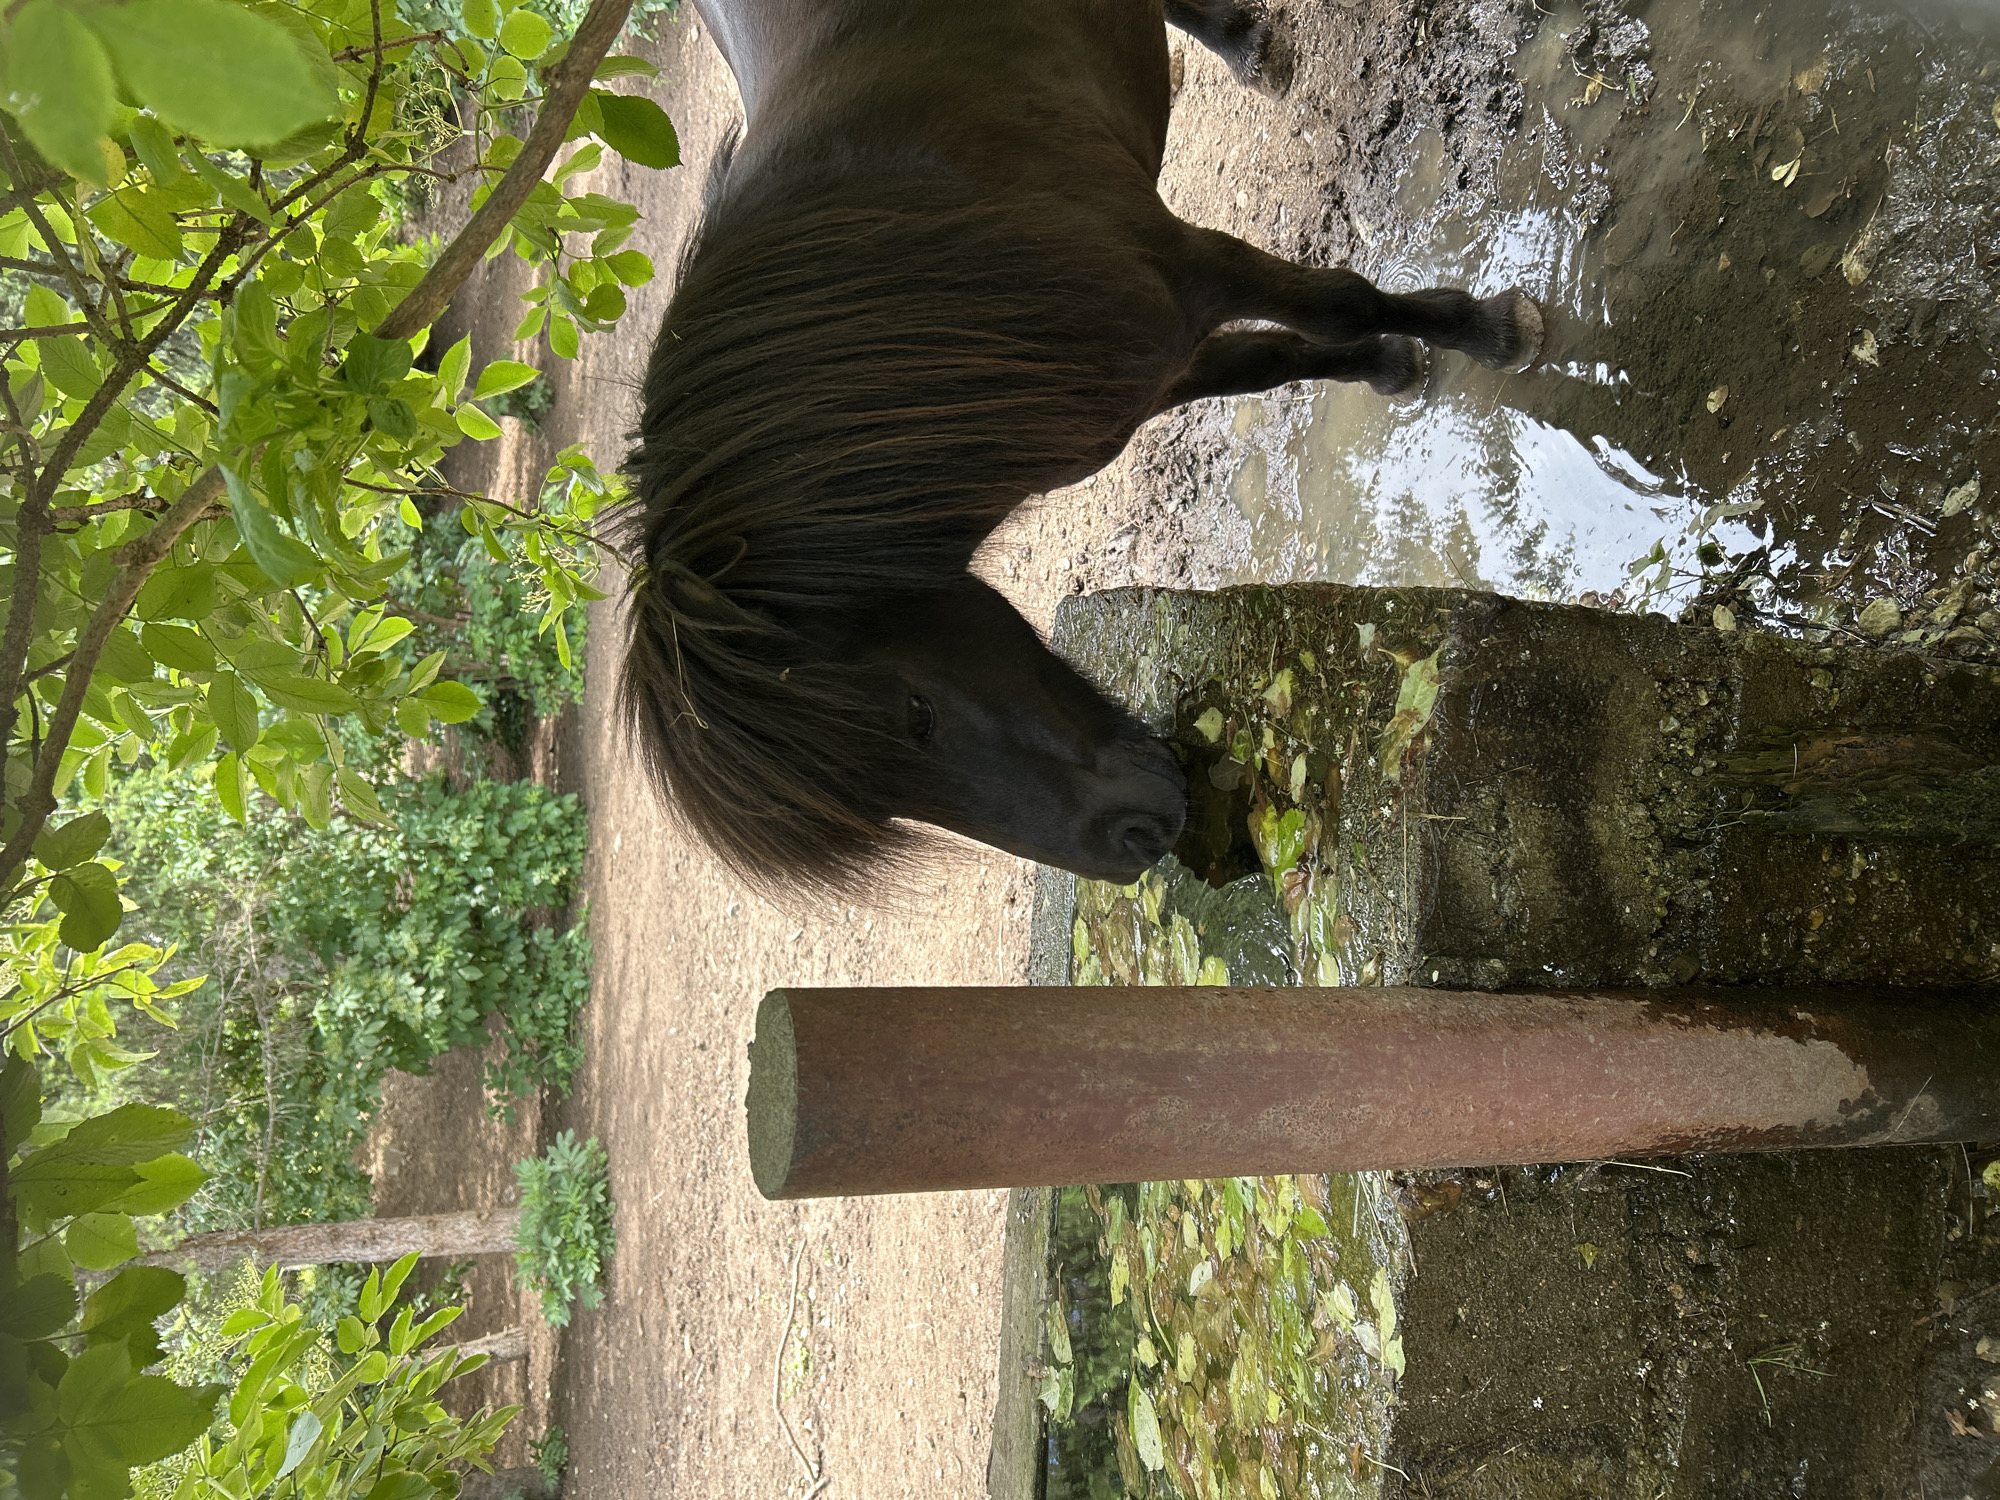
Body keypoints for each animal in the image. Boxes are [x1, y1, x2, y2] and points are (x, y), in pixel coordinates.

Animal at [619, 0, 1542, 896]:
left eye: (917, 718)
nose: (1136, 844)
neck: (932, 253)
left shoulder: (1188, 269)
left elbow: (1338, 304)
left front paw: (1487, 331)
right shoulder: (1130, 382)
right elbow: (1273, 361)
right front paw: (1389, 365)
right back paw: (1242, 42)